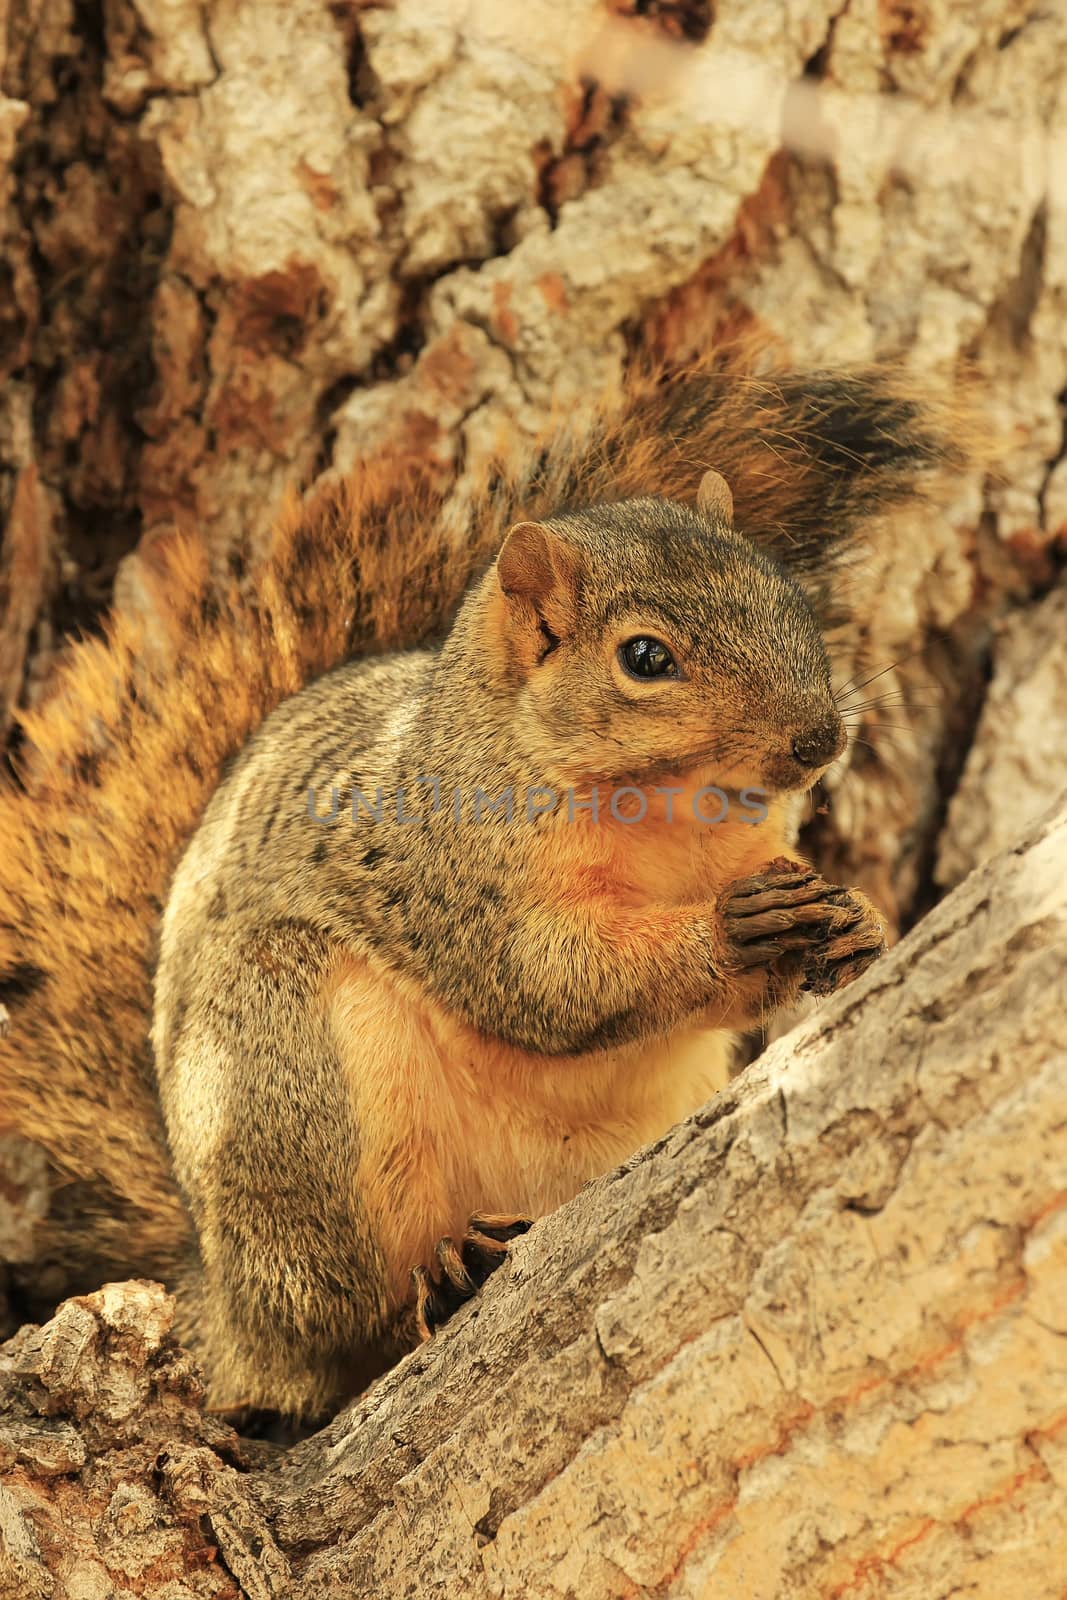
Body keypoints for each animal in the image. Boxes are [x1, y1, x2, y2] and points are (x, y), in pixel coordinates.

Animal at [0, 347, 972, 1414]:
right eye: (644, 658)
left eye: (788, 598)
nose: (819, 740)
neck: (669, 819)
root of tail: (226, 1309)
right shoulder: (449, 873)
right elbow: (549, 982)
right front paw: (727, 936)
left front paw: (853, 921)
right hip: (283, 1070)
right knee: (346, 1330)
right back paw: (440, 1274)